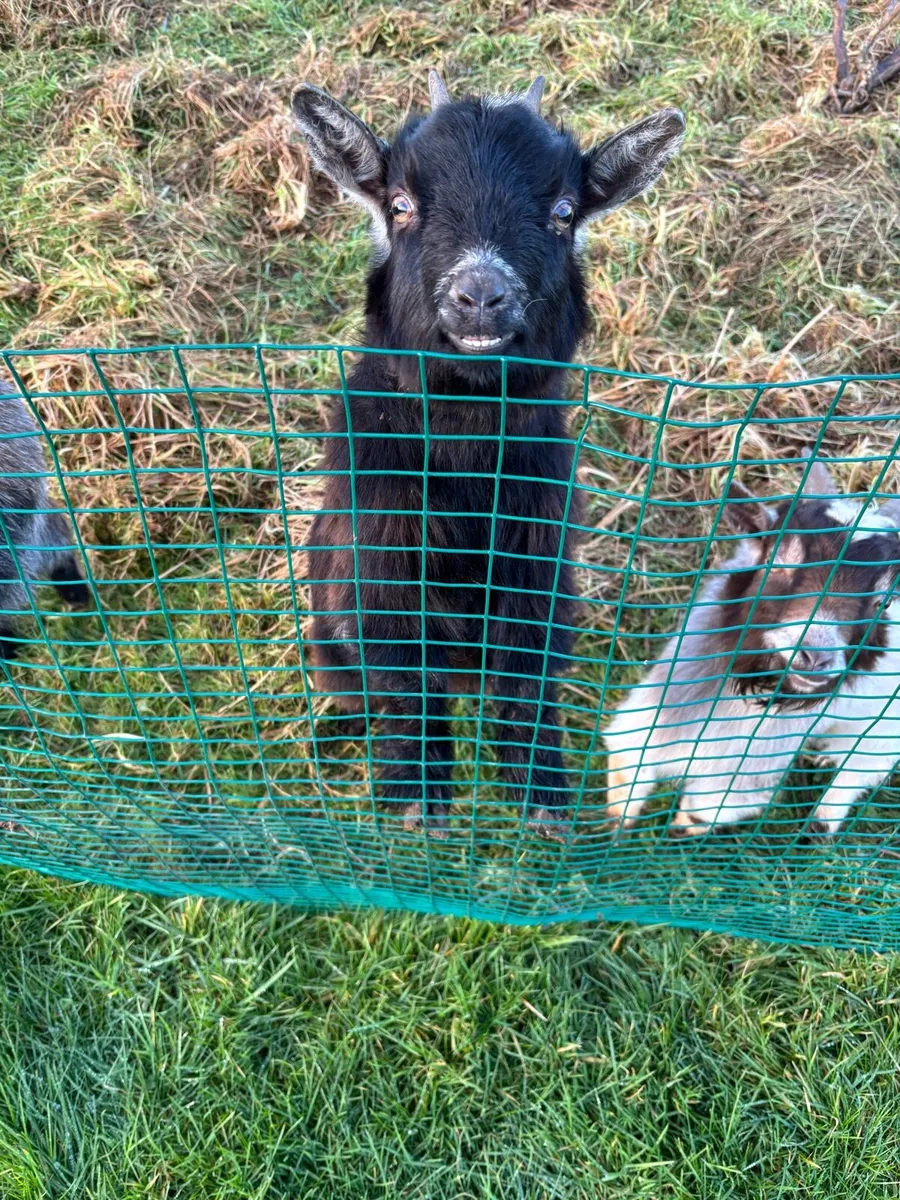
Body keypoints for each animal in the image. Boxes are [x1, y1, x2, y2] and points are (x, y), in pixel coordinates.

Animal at [292, 72, 684, 837]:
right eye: (401, 204)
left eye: (563, 211)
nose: (480, 295)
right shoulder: (378, 569)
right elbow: (402, 678)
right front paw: (418, 802)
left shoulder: (540, 564)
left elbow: (528, 678)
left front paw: (544, 800)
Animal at [604, 458, 900, 837]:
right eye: (779, 560)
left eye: (884, 602)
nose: (816, 657)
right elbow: (627, 756)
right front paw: (617, 823)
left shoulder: (752, 764)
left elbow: (711, 807)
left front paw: (680, 828)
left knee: (865, 762)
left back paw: (823, 820)